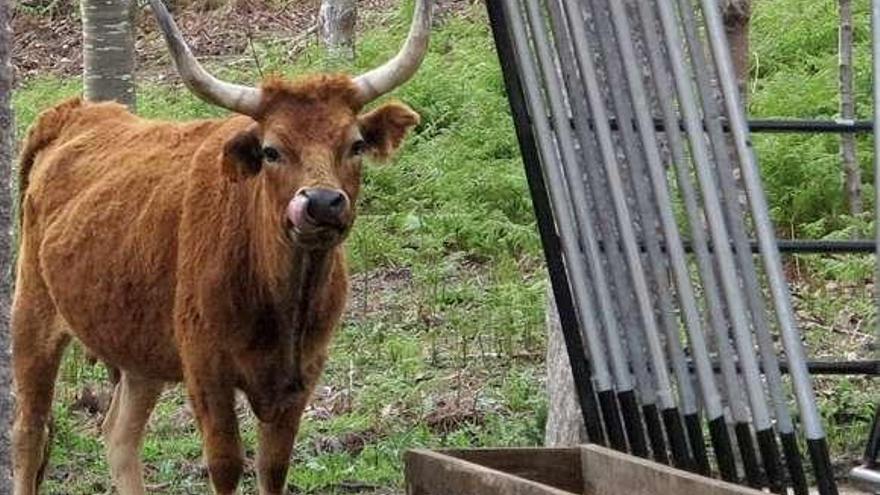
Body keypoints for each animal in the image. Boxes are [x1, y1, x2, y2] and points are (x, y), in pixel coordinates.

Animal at [11, 1, 431, 493]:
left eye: (357, 144)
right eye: (271, 150)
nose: (322, 203)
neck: (280, 297)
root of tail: (74, 113)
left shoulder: (301, 377)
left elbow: (273, 468)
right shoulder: (207, 372)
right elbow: (227, 465)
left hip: (139, 350)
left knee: (119, 434)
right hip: (32, 316)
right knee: (29, 431)